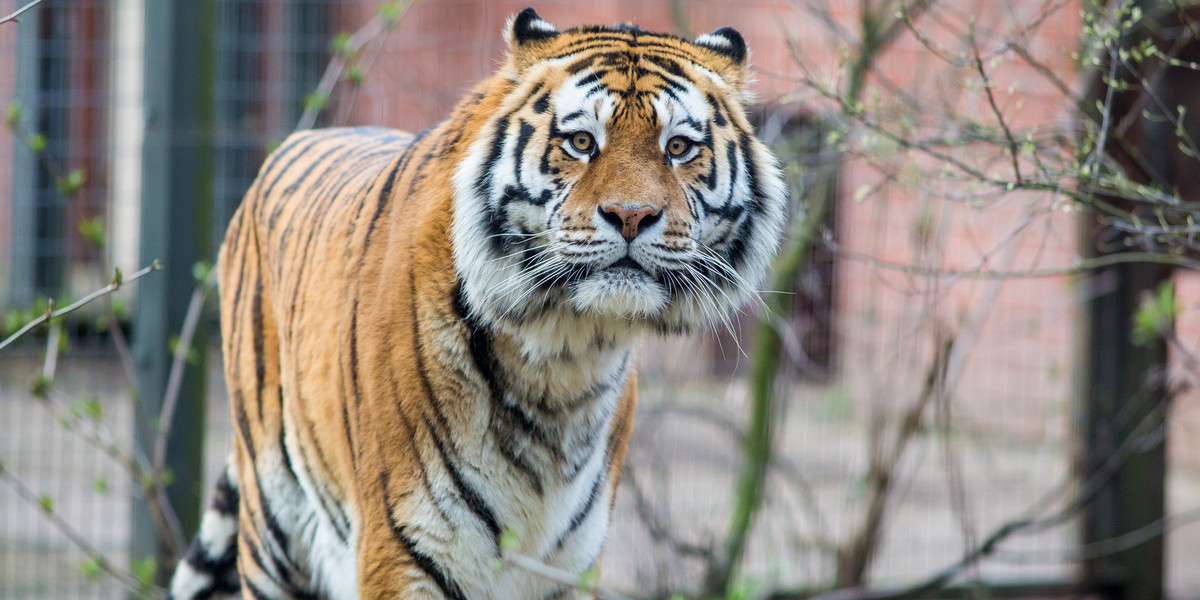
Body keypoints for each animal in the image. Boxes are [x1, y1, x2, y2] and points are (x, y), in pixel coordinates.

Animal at [169, 9, 787, 600]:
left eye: (678, 148)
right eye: (581, 143)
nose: (631, 215)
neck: (564, 357)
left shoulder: (570, 565)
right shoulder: (403, 550)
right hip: (274, 535)